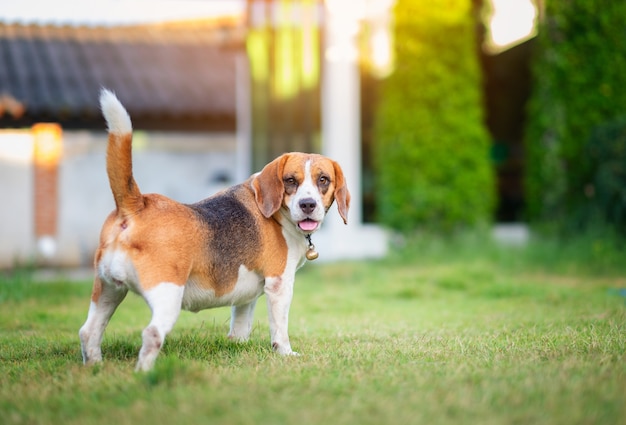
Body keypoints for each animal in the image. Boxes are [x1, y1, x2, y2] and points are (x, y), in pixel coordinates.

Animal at [78, 89, 348, 372]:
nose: (308, 204)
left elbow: (240, 322)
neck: (278, 214)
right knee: (151, 334)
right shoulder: (279, 284)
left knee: (88, 332)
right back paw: (144, 373)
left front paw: (238, 346)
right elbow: (279, 328)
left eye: (323, 180)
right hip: (167, 294)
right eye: (290, 181)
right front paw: (285, 353)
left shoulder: (247, 292)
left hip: (108, 290)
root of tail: (137, 204)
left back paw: (94, 367)